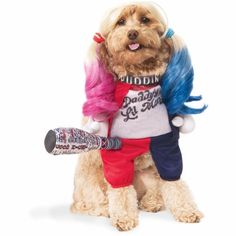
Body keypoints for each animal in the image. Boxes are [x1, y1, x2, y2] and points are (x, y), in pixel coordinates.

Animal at [70, 1, 205, 230]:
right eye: (120, 22)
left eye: (145, 20)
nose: (132, 33)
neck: (139, 81)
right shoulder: (117, 155)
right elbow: (121, 190)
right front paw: (124, 217)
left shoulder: (166, 145)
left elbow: (175, 182)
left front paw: (187, 210)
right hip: (91, 179)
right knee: (96, 199)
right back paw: (106, 209)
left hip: (149, 174)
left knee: (151, 191)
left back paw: (152, 202)